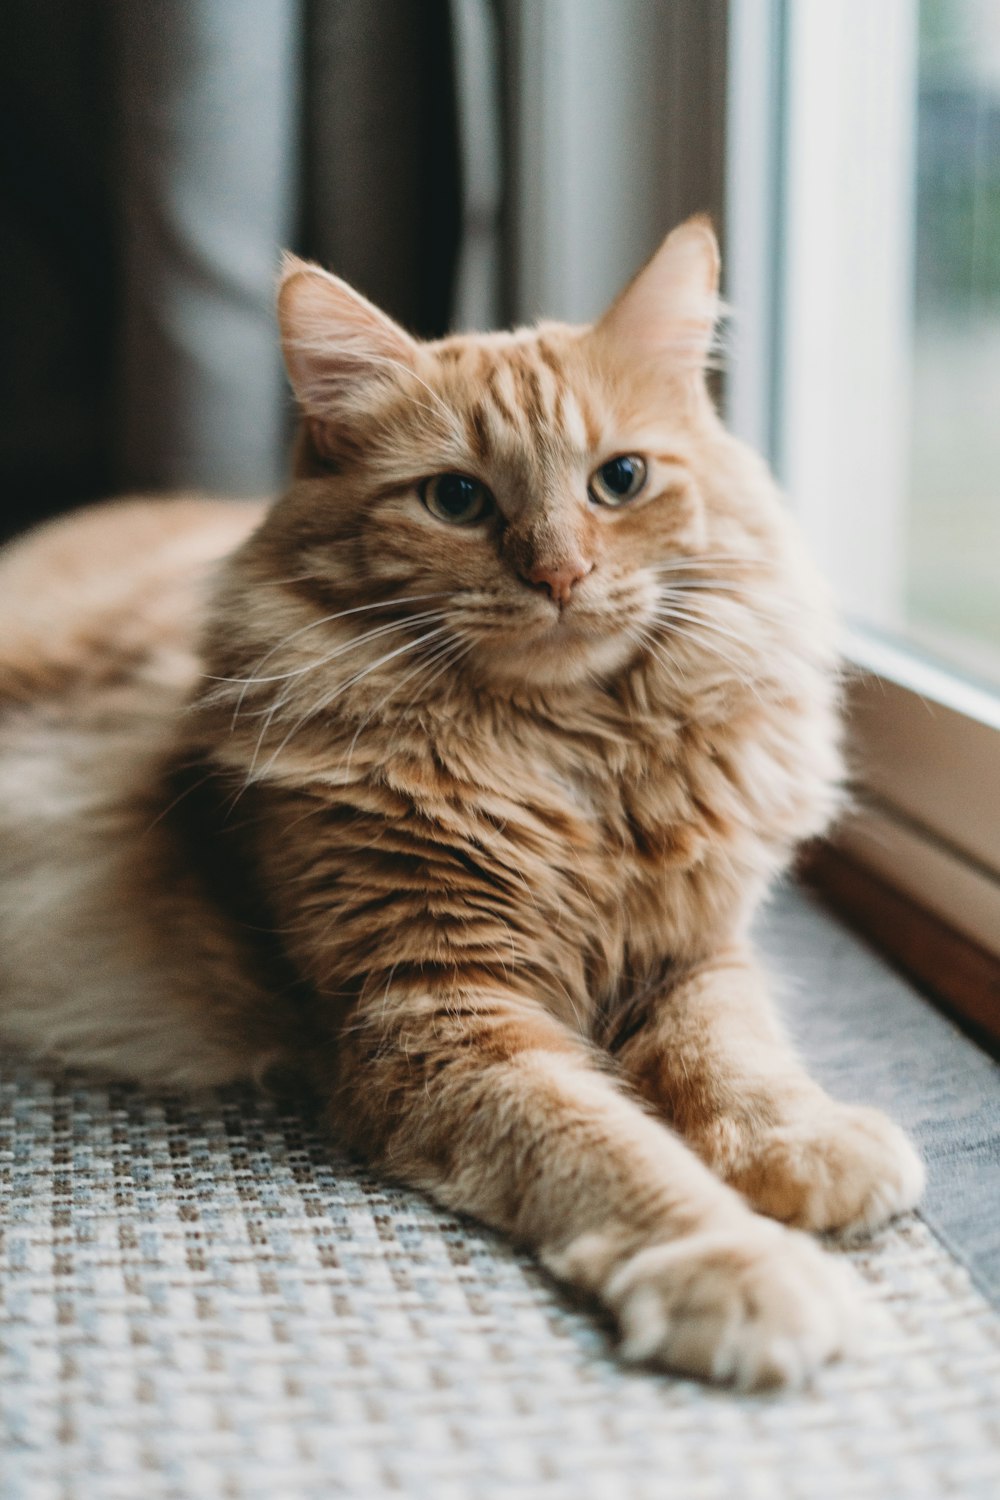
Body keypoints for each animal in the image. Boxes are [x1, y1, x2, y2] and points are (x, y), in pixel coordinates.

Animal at [0, 219, 923, 1380]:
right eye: (456, 500)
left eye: (620, 480)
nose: (559, 575)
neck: (570, 760)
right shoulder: (437, 1012)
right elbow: (612, 1151)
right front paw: (735, 1264)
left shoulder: (691, 952)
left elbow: (736, 1057)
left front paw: (802, 1142)